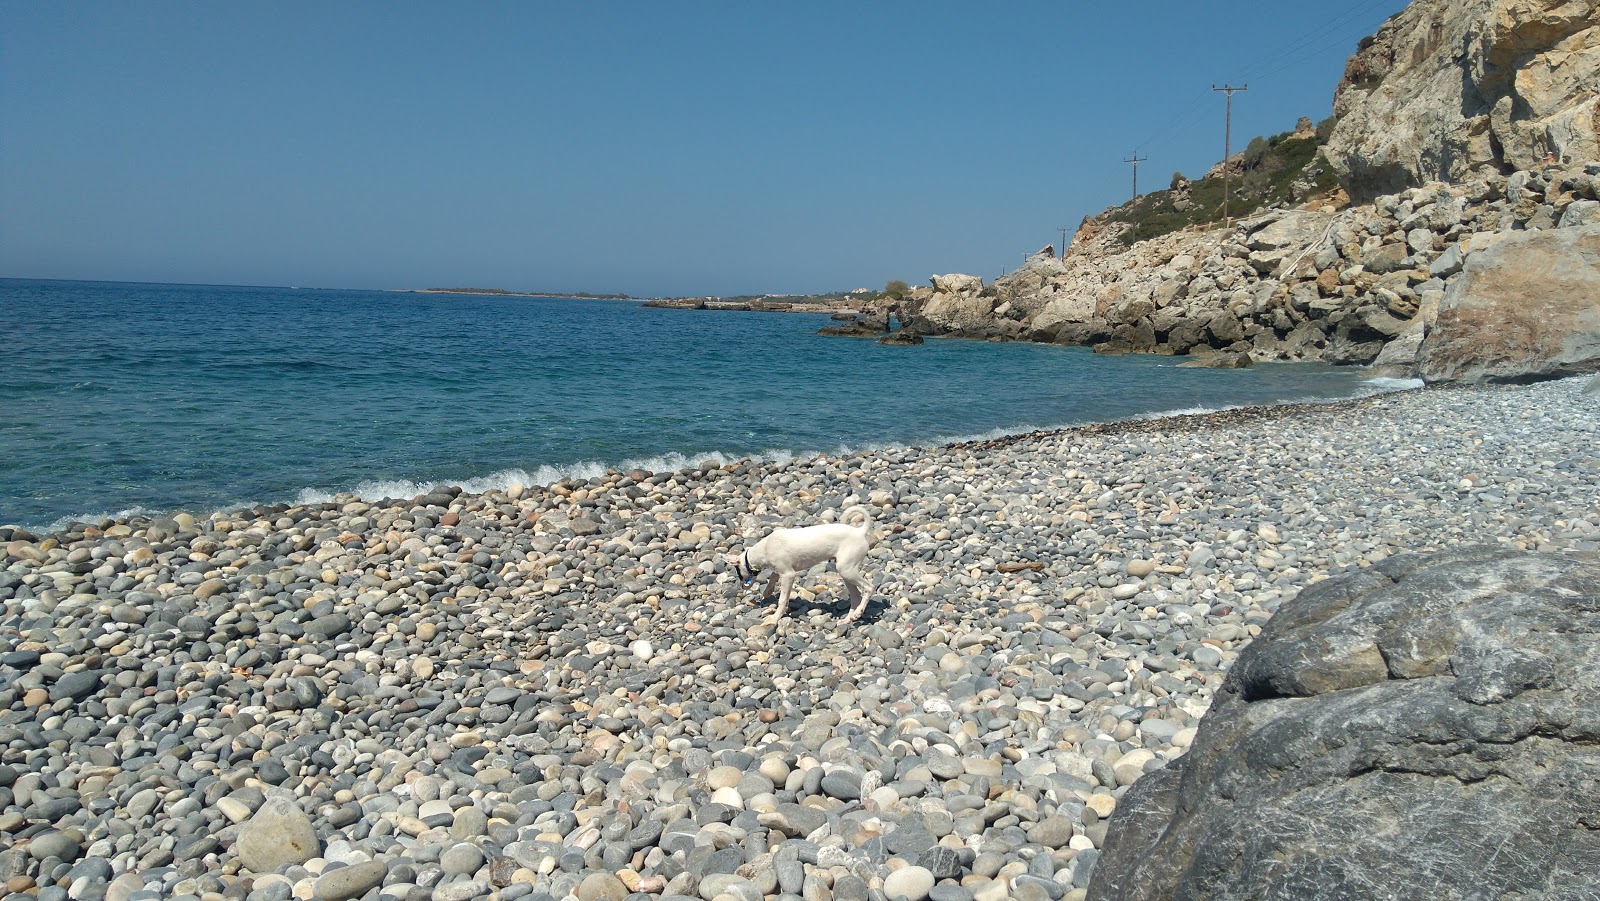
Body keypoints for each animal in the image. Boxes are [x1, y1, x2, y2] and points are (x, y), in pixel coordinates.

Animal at [729, 508, 876, 627]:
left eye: (738, 573)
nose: (742, 587)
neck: (764, 548)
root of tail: (859, 532)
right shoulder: (781, 570)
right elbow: (773, 576)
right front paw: (767, 592)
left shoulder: (788, 574)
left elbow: (782, 599)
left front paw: (774, 618)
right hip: (846, 572)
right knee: (856, 596)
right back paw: (849, 618)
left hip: (846, 570)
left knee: (869, 587)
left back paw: (858, 613)